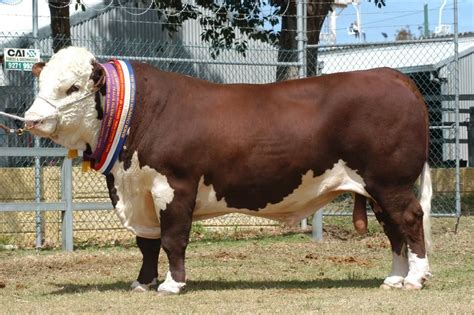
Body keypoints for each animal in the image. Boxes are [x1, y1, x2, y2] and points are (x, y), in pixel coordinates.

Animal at [24, 47, 432, 296]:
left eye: (72, 87)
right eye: (41, 83)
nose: (31, 119)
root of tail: (393, 76)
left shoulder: (175, 186)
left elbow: (172, 239)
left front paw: (172, 285)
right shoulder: (138, 191)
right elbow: (147, 243)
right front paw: (143, 283)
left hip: (391, 182)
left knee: (410, 220)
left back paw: (415, 277)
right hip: (376, 188)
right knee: (394, 229)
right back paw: (394, 277)